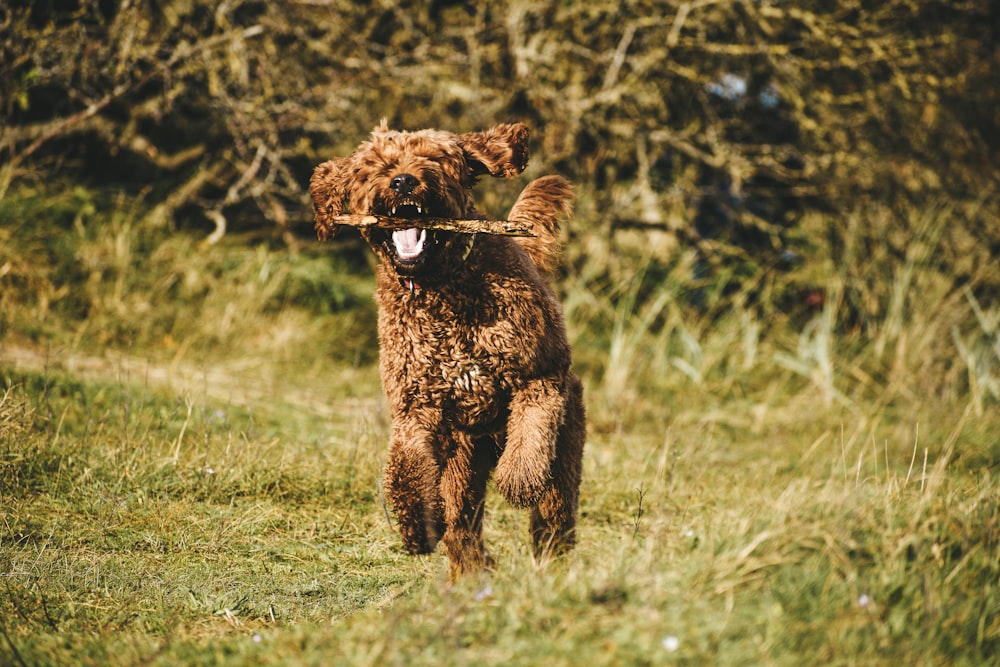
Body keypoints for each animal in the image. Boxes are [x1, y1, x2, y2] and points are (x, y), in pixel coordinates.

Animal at [308, 122, 584, 580]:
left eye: (434, 159)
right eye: (375, 166)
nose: (403, 181)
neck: (442, 287)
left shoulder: (541, 375)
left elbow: (530, 432)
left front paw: (518, 479)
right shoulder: (417, 407)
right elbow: (405, 470)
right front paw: (416, 526)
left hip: (563, 443)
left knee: (554, 511)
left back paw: (550, 563)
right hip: (462, 462)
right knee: (462, 523)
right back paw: (472, 570)